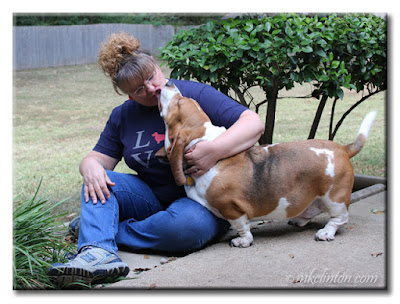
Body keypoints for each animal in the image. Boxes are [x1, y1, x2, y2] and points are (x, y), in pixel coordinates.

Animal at [155, 80, 376, 247]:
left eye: (179, 102)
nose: (168, 82)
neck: (203, 141)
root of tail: (343, 148)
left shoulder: (231, 208)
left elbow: (242, 227)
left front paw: (242, 241)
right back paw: (298, 220)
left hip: (334, 198)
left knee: (340, 218)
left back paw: (326, 233)